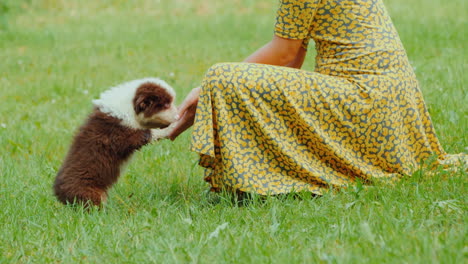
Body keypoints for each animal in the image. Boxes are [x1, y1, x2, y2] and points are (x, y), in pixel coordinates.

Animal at [53, 77, 177, 207]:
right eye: (166, 105)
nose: (178, 115)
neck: (129, 107)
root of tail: (59, 194)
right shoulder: (120, 134)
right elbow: (147, 133)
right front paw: (171, 127)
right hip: (90, 193)